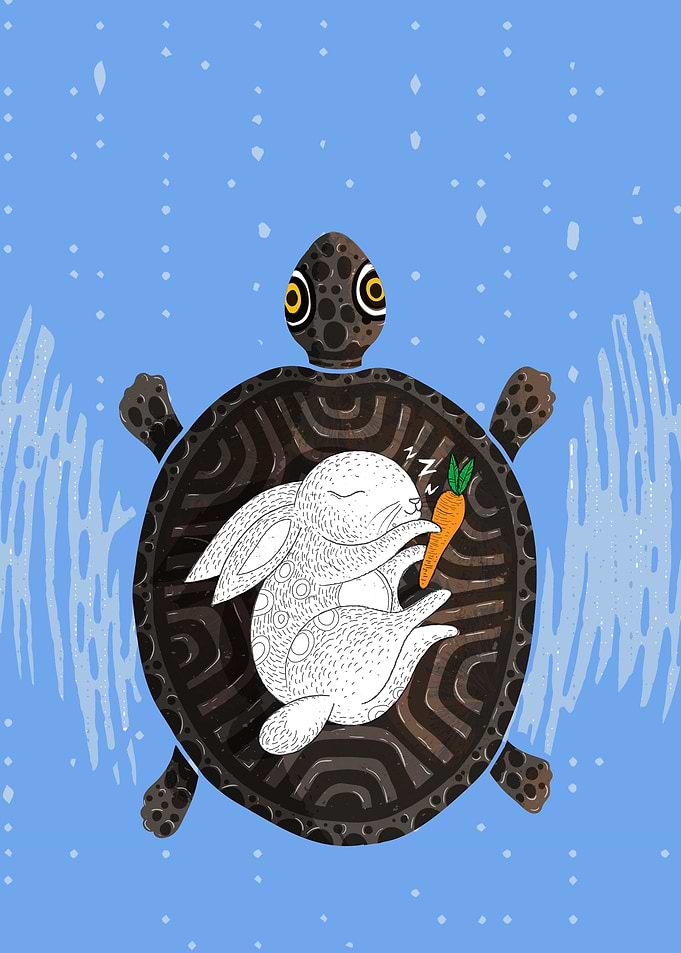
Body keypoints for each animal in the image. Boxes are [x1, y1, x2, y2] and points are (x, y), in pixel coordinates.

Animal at [186, 450, 459, 755]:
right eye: (350, 492)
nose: (414, 502)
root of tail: (326, 702)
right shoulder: (330, 559)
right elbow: (379, 547)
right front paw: (426, 527)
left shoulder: (383, 571)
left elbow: (397, 561)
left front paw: (423, 549)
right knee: (402, 622)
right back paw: (436, 599)